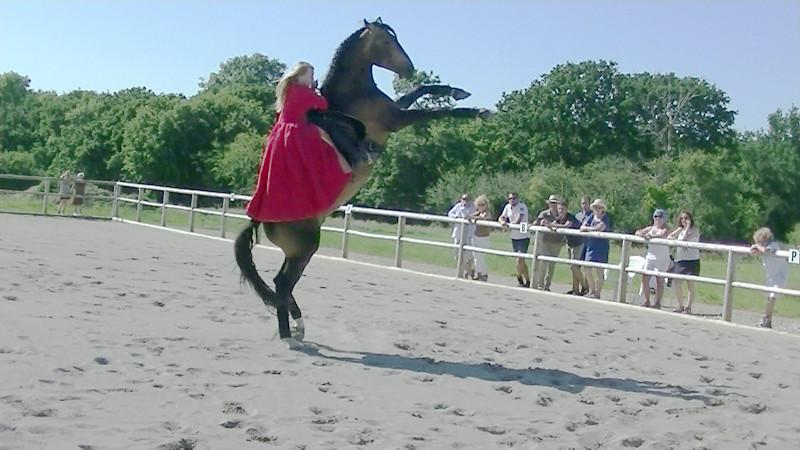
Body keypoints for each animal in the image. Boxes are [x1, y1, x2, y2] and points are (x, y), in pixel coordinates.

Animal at [234, 16, 490, 342]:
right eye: (385, 41)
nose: (408, 68)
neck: (354, 93)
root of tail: (260, 218)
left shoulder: (395, 108)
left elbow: (421, 89)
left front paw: (457, 91)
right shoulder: (396, 119)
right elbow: (433, 111)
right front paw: (478, 110)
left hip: (297, 250)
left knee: (282, 283)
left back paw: (296, 325)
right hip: (306, 245)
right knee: (283, 283)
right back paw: (289, 333)